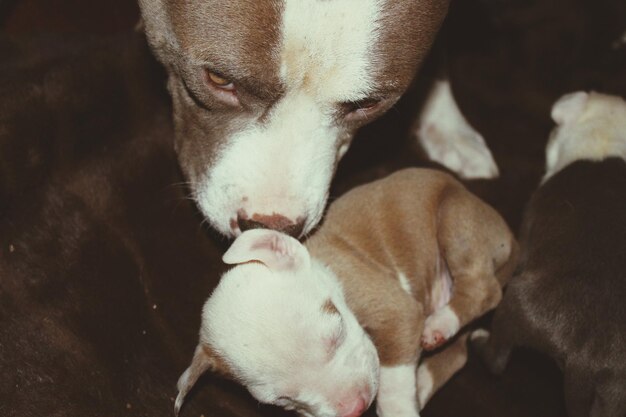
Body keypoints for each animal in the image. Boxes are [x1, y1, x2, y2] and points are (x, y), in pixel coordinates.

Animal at [177, 167, 516, 414]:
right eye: (283, 400)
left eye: (336, 335)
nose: (355, 407)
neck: (321, 266)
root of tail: (513, 241)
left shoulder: (398, 313)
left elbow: (394, 382)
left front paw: (397, 407)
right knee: (457, 354)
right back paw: (425, 374)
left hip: (455, 217)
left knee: (483, 289)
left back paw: (439, 325)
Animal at [470, 91, 624, 416]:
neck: (606, 140)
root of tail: (586, 356)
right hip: (615, 392)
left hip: (515, 304)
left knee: (497, 360)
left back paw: (479, 340)